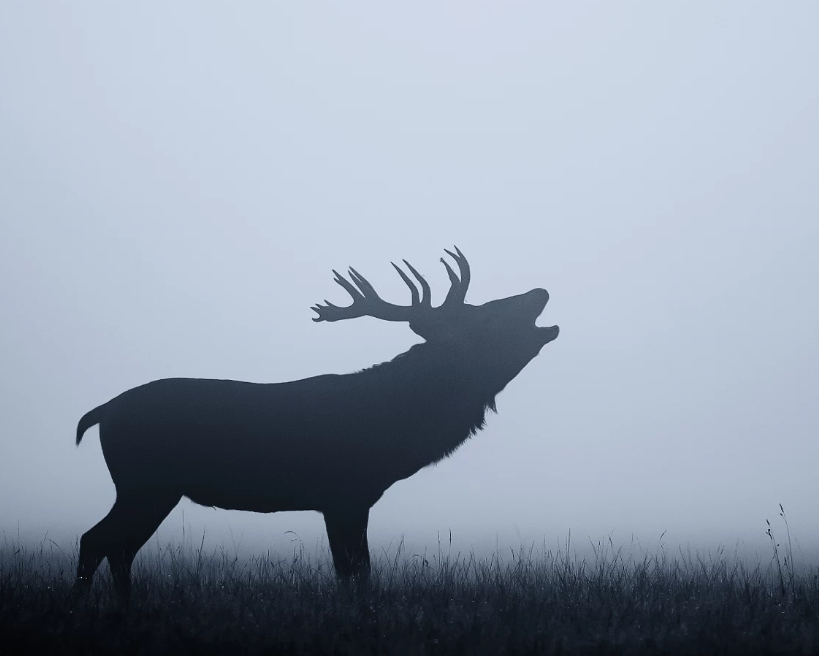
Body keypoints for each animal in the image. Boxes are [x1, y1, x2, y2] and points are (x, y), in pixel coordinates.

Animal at [72, 246, 556, 600]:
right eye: (483, 315)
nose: (540, 292)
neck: (397, 426)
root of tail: (101, 413)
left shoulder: (340, 500)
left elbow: (350, 571)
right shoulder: (346, 494)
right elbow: (357, 571)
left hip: (151, 489)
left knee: (117, 548)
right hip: (144, 482)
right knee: (96, 541)